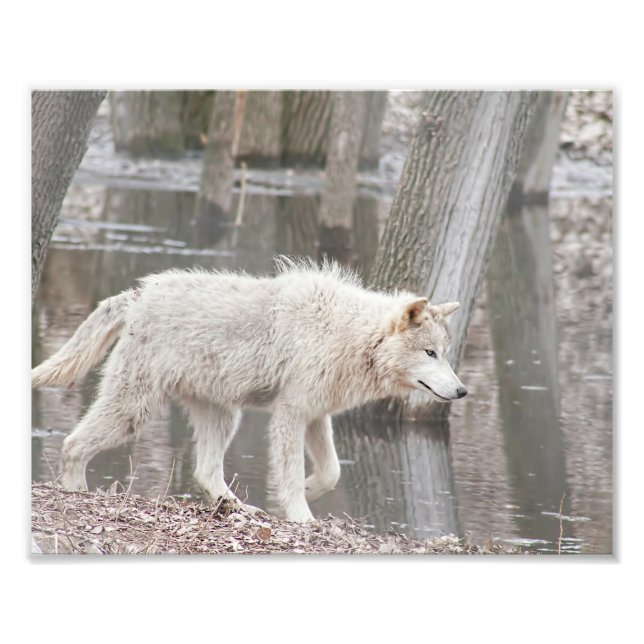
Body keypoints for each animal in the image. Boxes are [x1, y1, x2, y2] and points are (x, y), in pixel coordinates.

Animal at [32, 259, 467, 522]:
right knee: (72, 444)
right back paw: (77, 493)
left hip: (224, 416)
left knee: (205, 471)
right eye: (430, 353)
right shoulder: (291, 415)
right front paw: (301, 516)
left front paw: (306, 492)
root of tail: (138, 294)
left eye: (445, 354)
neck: (349, 334)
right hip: (134, 411)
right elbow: (291, 472)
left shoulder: (316, 416)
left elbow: (331, 472)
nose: (462, 391)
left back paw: (237, 508)